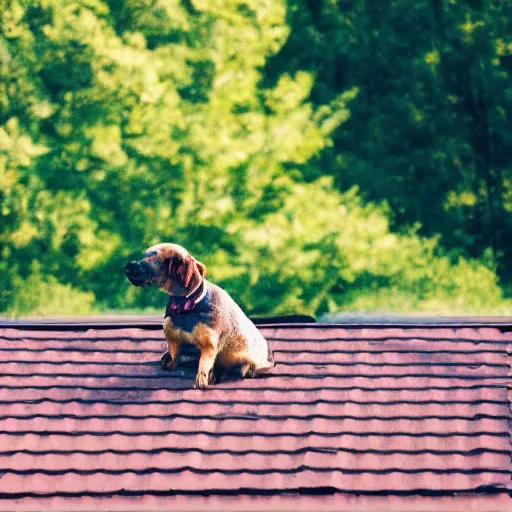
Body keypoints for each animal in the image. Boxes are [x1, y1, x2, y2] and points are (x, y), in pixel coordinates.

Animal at [124, 243, 274, 388]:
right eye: (145, 255)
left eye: (154, 257)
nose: (129, 264)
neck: (184, 307)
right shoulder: (171, 333)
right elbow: (173, 354)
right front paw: (168, 361)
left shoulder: (209, 342)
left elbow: (204, 364)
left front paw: (202, 381)